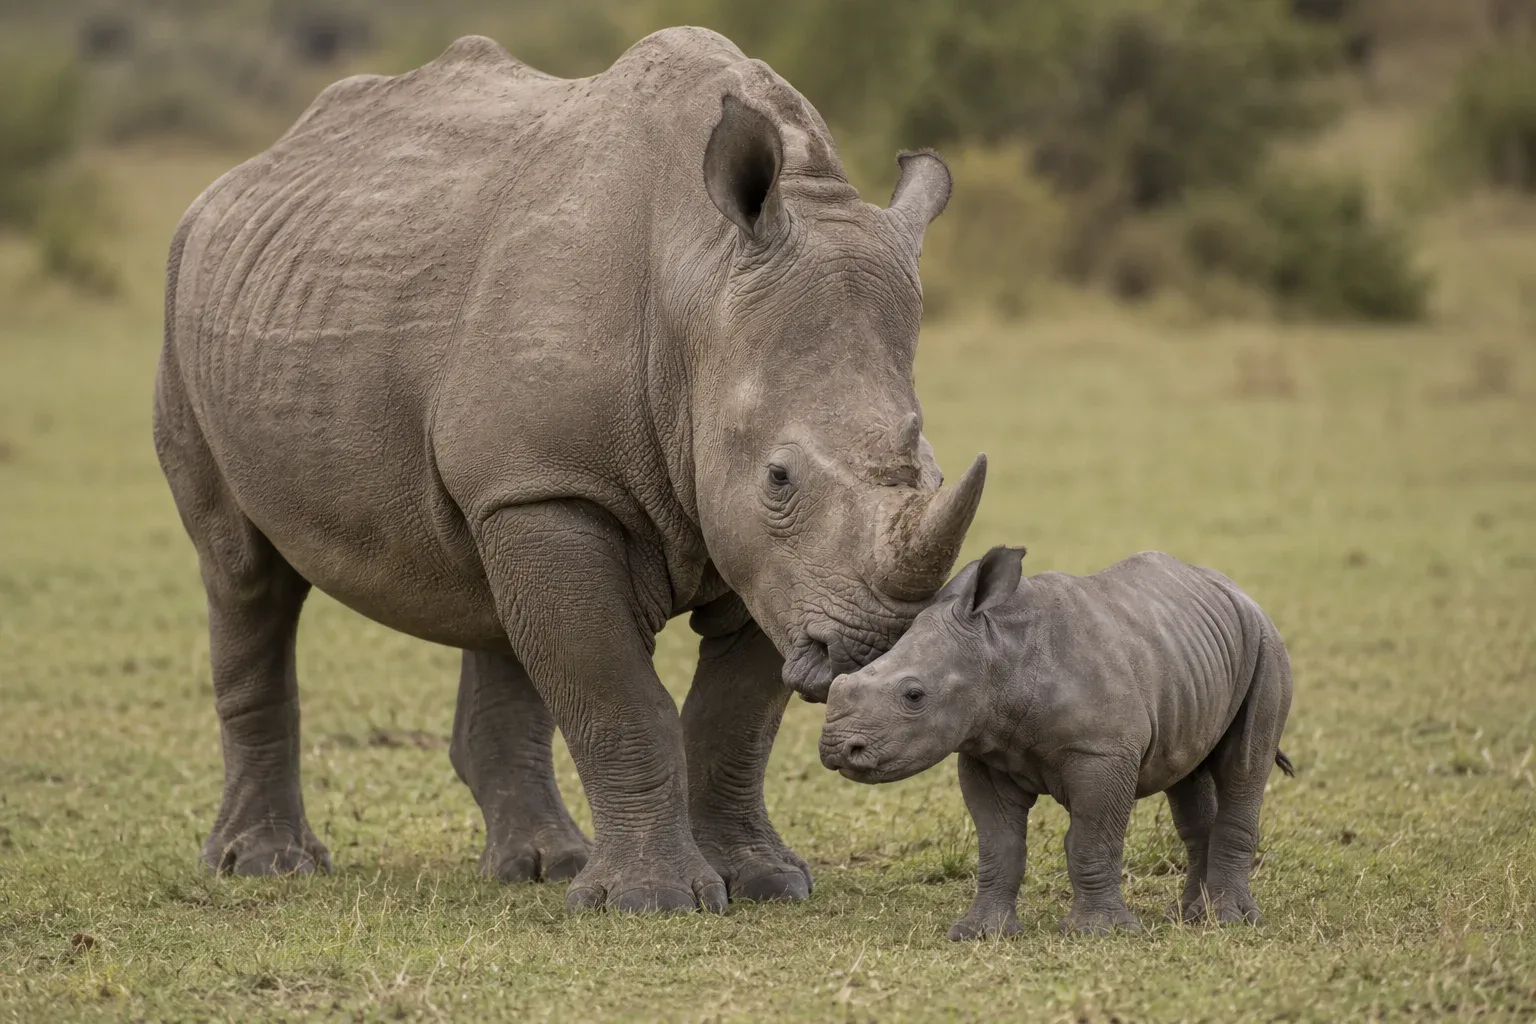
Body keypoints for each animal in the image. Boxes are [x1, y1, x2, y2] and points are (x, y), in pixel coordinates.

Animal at [153, 27, 986, 914]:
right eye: (780, 478)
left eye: (932, 471)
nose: (879, 645)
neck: (699, 288)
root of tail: (247, 171)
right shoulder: (555, 485)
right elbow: (617, 695)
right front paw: (651, 902)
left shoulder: (763, 559)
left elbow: (733, 720)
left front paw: (763, 882)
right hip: (186, 294)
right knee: (242, 572)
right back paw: (265, 864)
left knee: (488, 592)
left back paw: (541, 865)